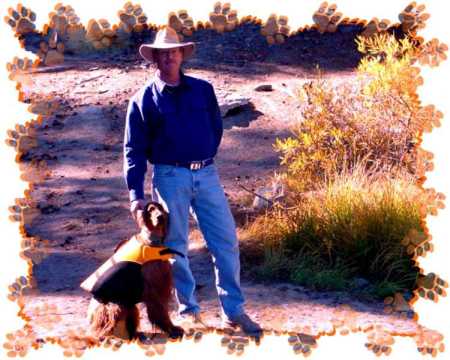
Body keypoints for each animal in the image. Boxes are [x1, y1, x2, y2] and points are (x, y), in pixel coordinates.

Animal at [80, 202, 185, 340]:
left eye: (160, 208)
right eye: (151, 210)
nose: (160, 217)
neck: (151, 241)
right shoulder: (154, 289)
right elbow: (161, 312)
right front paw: (172, 329)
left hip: (130, 305)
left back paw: (136, 335)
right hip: (115, 306)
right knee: (100, 331)